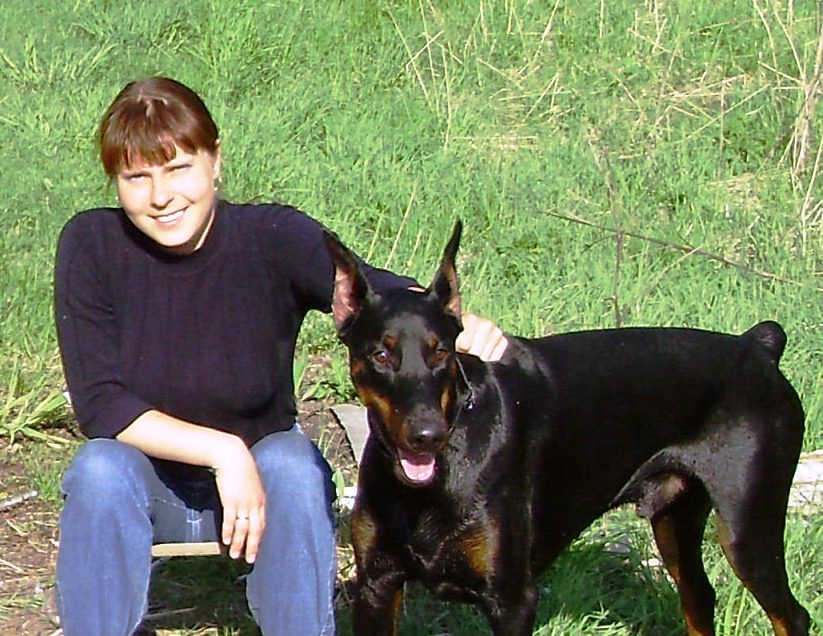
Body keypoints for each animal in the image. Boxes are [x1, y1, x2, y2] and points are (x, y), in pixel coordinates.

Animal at [323, 221, 810, 636]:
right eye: (381, 354)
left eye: (441, 350)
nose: (427, 435)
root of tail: (758, 349)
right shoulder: (377, 585)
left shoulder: (512, 600)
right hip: (677, 514)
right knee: (699, 596)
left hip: (748, 524)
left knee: (791, 615)